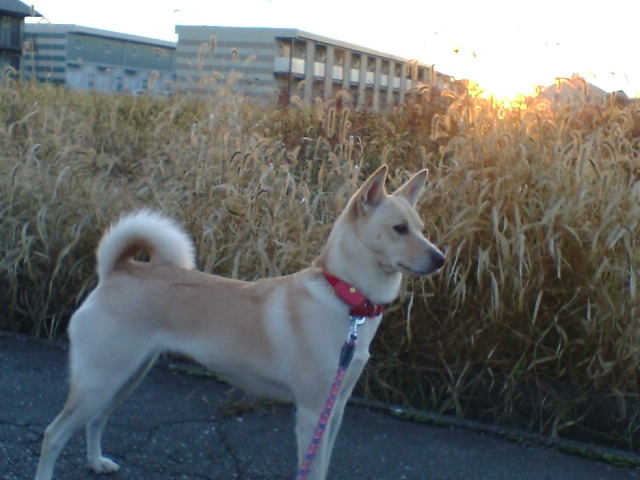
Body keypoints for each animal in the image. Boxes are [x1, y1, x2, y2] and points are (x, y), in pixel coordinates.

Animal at [34, 164, 445, 480]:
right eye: (400, 229)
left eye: (421, 227)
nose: (440, 258)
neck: (346, 296)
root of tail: (117, 270)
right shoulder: (313, 411)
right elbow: (312, 469)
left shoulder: (336, 409)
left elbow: (323, 464)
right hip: (100, 379)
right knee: (54, 434)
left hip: (125, 377)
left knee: (95, 421)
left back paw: (96, 462)